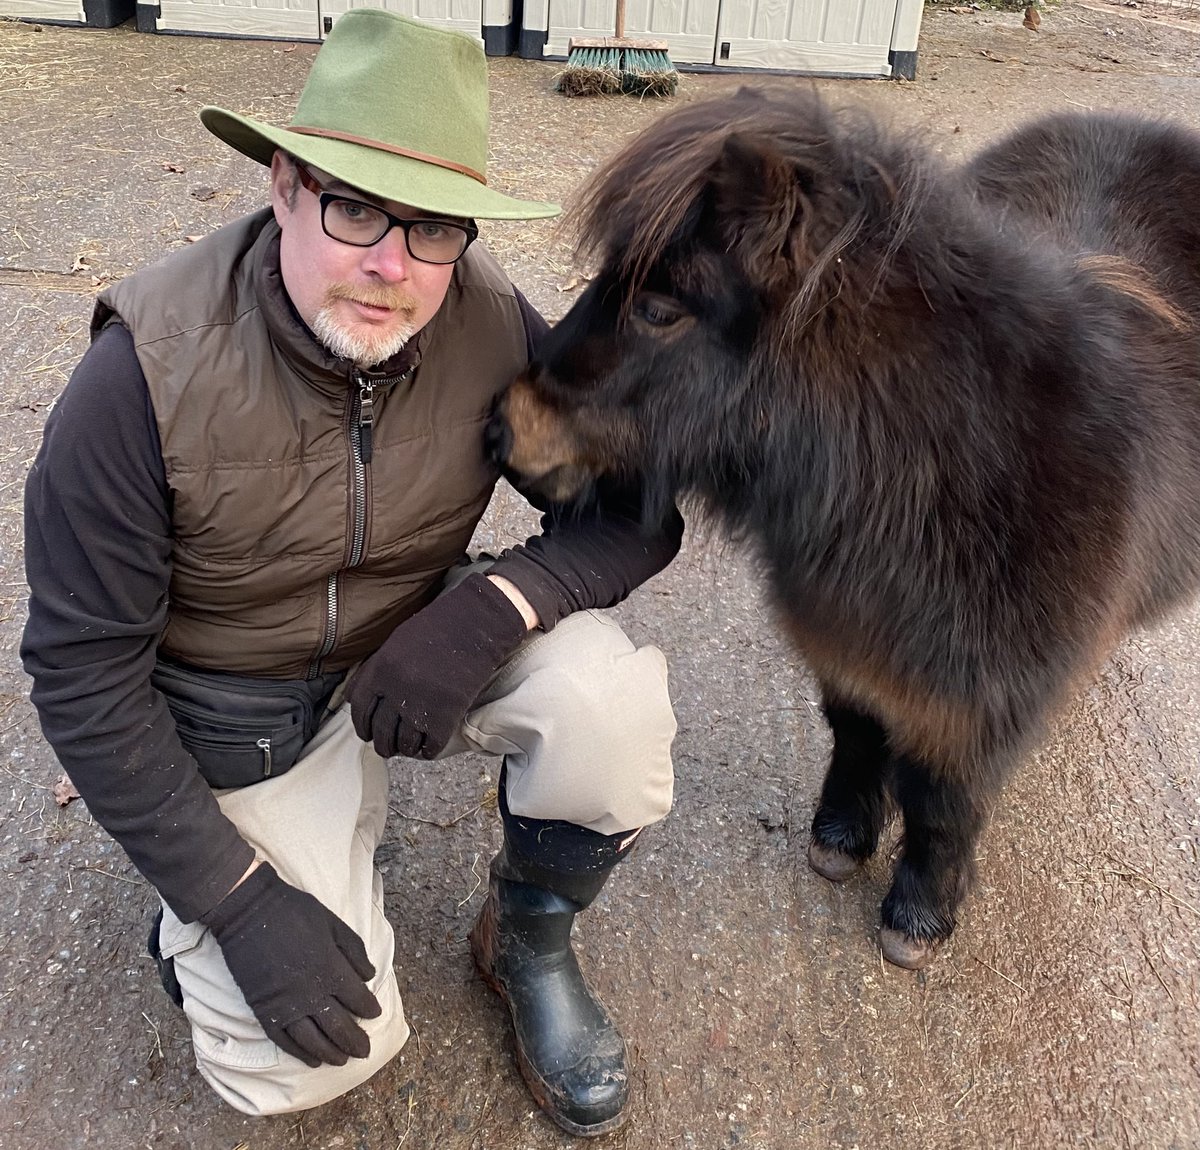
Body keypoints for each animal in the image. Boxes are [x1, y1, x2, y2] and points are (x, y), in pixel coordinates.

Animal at [484, 92, 1200, 969]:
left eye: (659, 309)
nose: (503, 431)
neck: (959, 469)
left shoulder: (977, 703)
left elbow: (942, 803)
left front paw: (918, 918)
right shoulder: (851, 649)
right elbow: (858, 741)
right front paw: (840, 840)